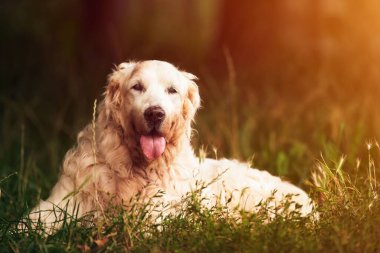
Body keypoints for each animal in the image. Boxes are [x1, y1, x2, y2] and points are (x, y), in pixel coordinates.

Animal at [24, 59, 314, 233]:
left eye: (172, 90)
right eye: (137, 87)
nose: (155, 113)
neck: (131, 167)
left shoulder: (155, 217)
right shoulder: (59, 202)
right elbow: (28, 224)